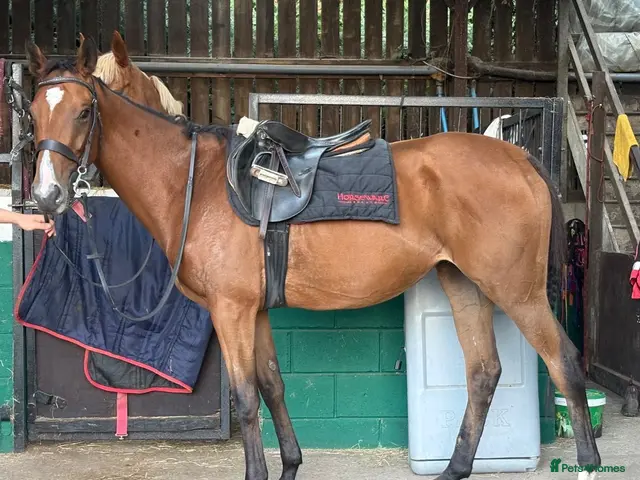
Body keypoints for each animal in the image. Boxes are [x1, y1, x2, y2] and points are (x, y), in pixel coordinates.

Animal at [22, 36, 600, 480]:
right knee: (483, 373)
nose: (48, 197)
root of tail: (518, 157)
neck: (197, 185)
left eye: (85, 111)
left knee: (565, 364)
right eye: (32, 113)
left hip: (517, 293)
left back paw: (589, 462)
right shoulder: (253, 312)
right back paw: (455, 469)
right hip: (463, 283)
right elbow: (274, 386)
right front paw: (290, 466)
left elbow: (247, 398)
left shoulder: (231, 311)